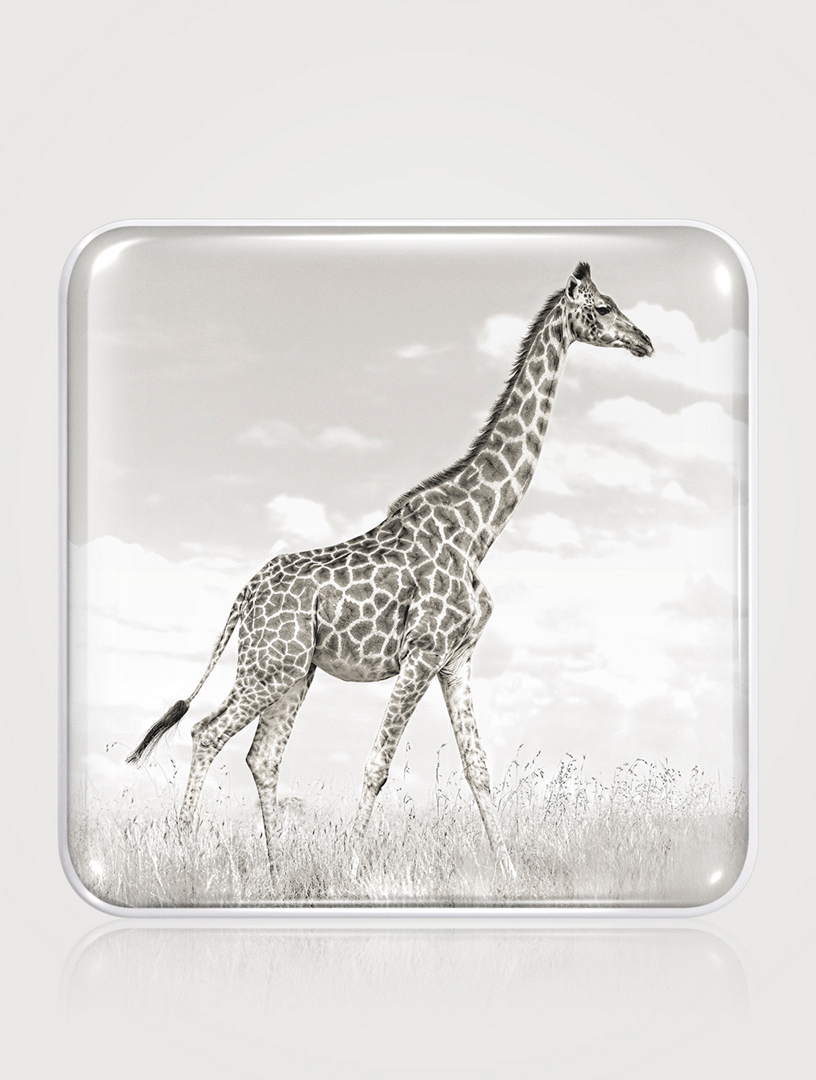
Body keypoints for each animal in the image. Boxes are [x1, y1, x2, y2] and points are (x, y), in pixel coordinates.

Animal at [127, 262, 653, 878]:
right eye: (603, 308)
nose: (645, 341)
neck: (479, 530)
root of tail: (245, 595)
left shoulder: (456, 659)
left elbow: (478, 767)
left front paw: (508, 873)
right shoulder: (422, 652)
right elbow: (377, 764)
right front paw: (351, 868)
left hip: (294, 671)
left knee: (262, 755)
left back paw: (277, 868)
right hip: (268, 667)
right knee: (207, 732)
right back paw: (182, 850)